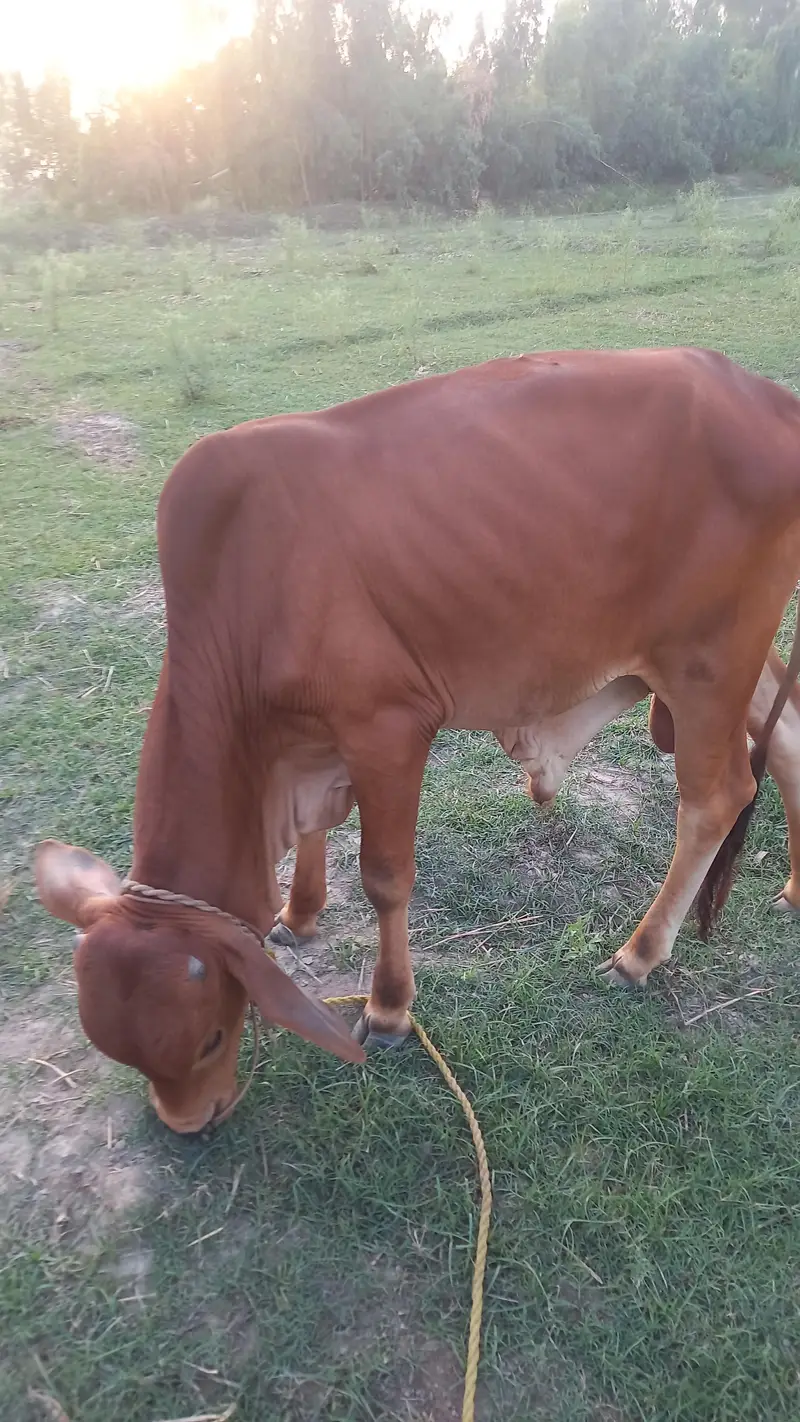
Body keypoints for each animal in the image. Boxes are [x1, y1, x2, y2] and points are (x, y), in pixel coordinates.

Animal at [34, 346, 800, 1134]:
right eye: (122, 1051)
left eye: (210, 1038)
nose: (191, 1125)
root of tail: (763, 395)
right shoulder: (314, 739)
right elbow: (316, 834)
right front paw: (298, 914)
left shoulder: (388, 728)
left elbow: (385, 877)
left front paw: (390, 1009)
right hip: (718, 664)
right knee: (786, 738)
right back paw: (792, 890)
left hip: (706, 662)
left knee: (717, 798)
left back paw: (638, 956)